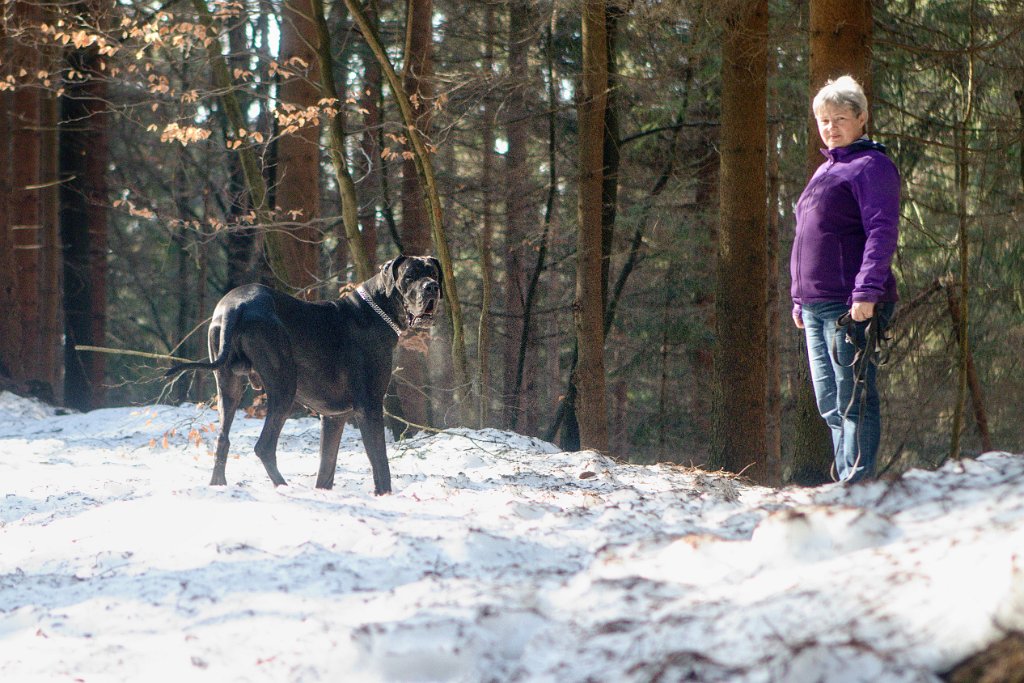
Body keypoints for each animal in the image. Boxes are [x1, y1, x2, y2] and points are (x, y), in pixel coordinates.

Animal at [164, 253, 444, 493]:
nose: (432, 287)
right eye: (410, 275)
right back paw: (283, 487)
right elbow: (380, 462)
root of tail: (236, 305)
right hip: (284, 386)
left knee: (223, 440)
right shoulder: (369, 406)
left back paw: (218, 485)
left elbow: (326, 467)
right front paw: (384, 495)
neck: (377, 310)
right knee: (264, 447)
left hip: (228, 386)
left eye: (432, 273)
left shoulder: (333, 417)